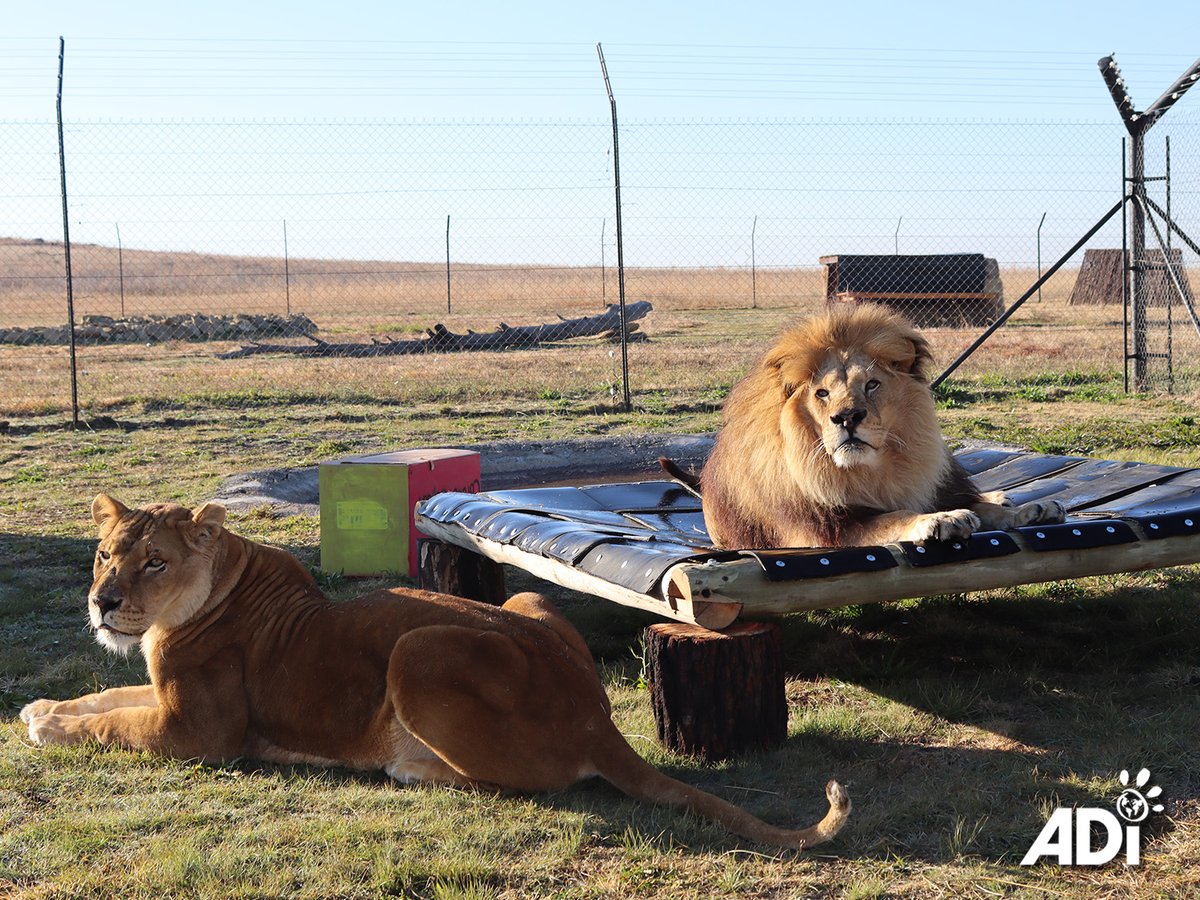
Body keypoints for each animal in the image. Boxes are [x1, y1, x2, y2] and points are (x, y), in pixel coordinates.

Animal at [20, 494, 850, 850]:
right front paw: (41, 707)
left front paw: (47, 726)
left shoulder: (200, 732)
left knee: (520, 783)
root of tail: (595, 716)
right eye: (105, 554)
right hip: (525, 600)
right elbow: (106, 695)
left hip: (418, 646)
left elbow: (113, 726)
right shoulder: (161, 696)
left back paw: (411, 768)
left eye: (154, 562)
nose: (102, 602)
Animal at [664, 305, 1064, 549]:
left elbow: (982, 509)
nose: (847, 417)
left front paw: (1027, 510)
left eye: (871, 384)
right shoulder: (824, 533)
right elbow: (893, 517)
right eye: (822, 393)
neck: (869, 471)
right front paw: (940, 520)